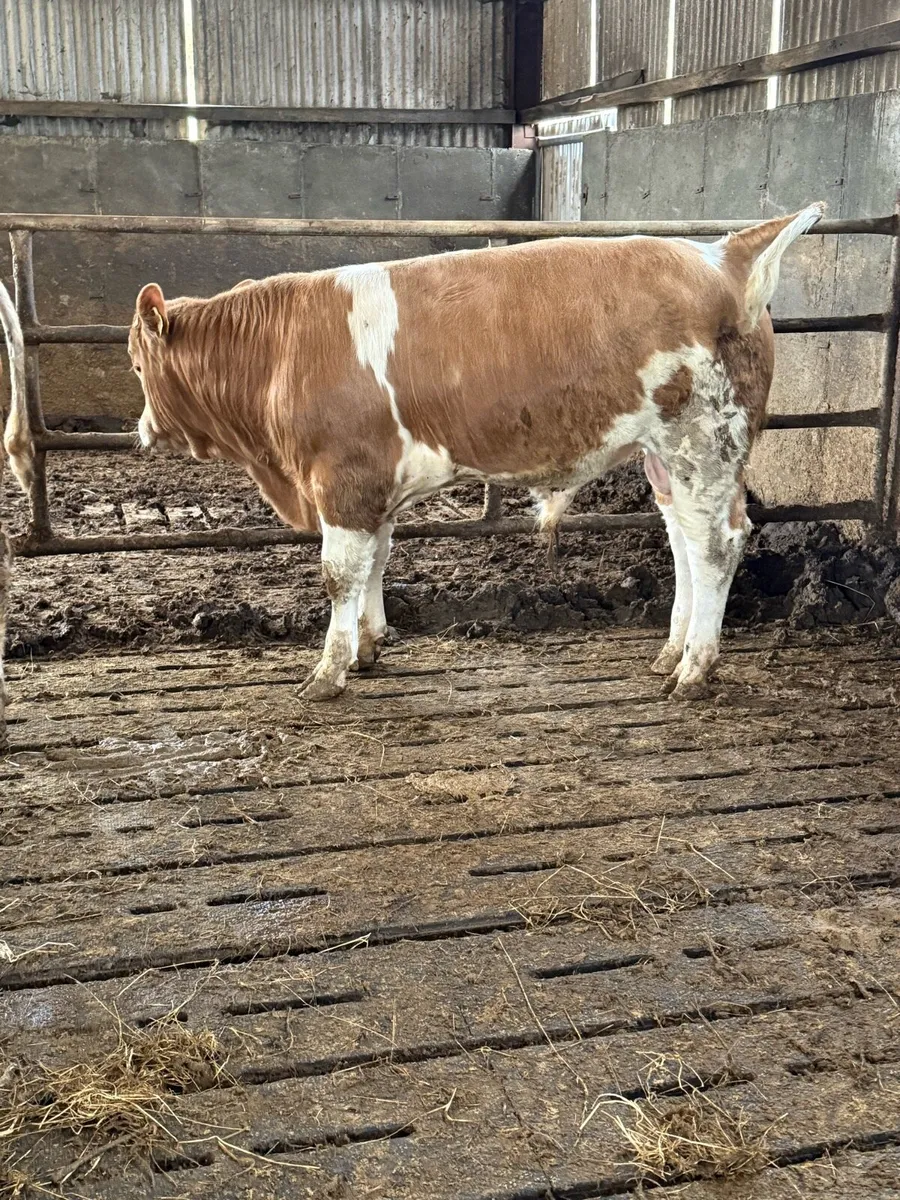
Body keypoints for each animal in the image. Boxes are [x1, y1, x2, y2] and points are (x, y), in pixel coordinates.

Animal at [124, 203, 824, 702]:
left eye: (134, 363)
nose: (142, 429)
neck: (283, 351)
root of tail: (722, 253)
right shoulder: (373, 487)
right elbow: (376, 562)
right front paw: (368, 648)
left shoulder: (343, 480)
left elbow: (338, 574)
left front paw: (326, 673)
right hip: (664, 455)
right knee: (682, 540)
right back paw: (669, 655)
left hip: (703, 441)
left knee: (716, 545)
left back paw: (694, 672)